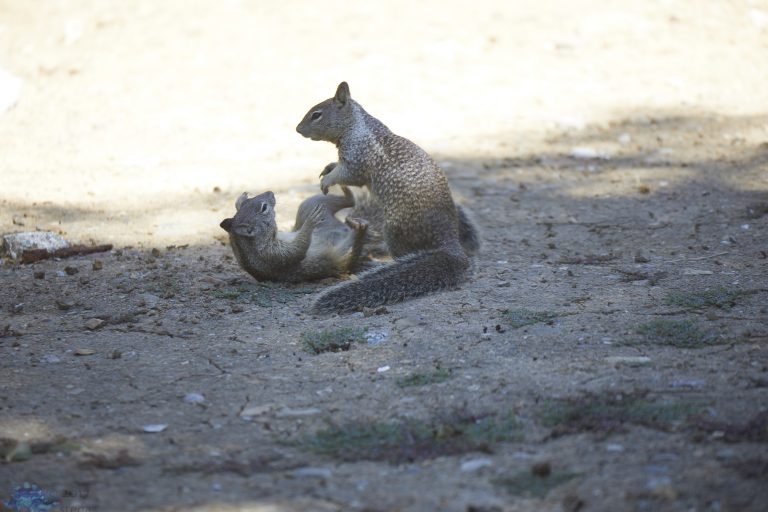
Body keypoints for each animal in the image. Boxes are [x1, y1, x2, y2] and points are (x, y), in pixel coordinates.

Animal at [219, 189, 368, 283]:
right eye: (264, 207)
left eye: (249, 200)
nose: (270, 192)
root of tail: (339, 225)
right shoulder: (274, 255)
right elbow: (298, 250)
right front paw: (310, 222)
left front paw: (239, 199)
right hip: (339, 254)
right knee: (354, 242)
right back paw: (358, 227)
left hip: (310, 203)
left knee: (349, 201)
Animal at [296, 81, 480, 313]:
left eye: (316, 114)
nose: (297, 129)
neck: (357, 126)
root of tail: (450, 243)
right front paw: (328, 168)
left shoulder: (357, 157)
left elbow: (348, 174)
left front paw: (328, 179)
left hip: (394, 230)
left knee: (402, 253)